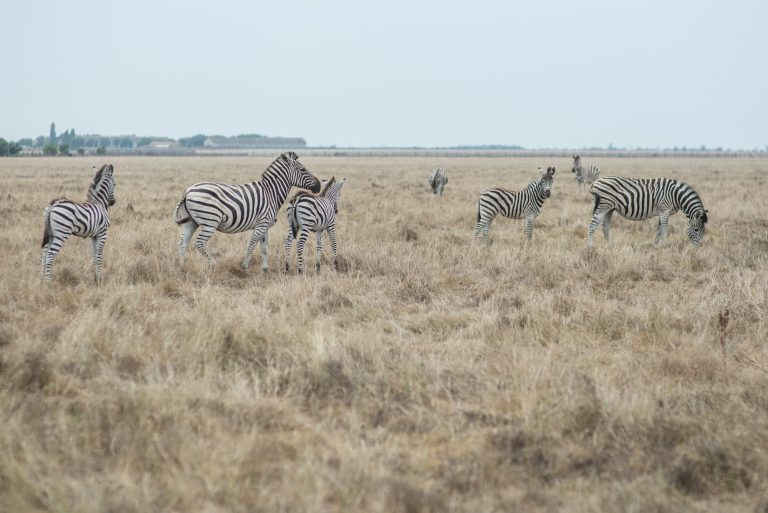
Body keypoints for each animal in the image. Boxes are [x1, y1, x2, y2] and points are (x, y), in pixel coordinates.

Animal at [175, 151, 320, 272]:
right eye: (303, 169)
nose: (319, 186)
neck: (271, 193)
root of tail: (188, 191)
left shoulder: (265, 225)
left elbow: (264, 248)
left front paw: (265, 269)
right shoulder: (261, 224)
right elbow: (251, 244)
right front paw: (244, 266)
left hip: (191, 222)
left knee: (183, 243)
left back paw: (182, 267)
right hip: (210, 221)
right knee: (199, 243)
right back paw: (213, 264)